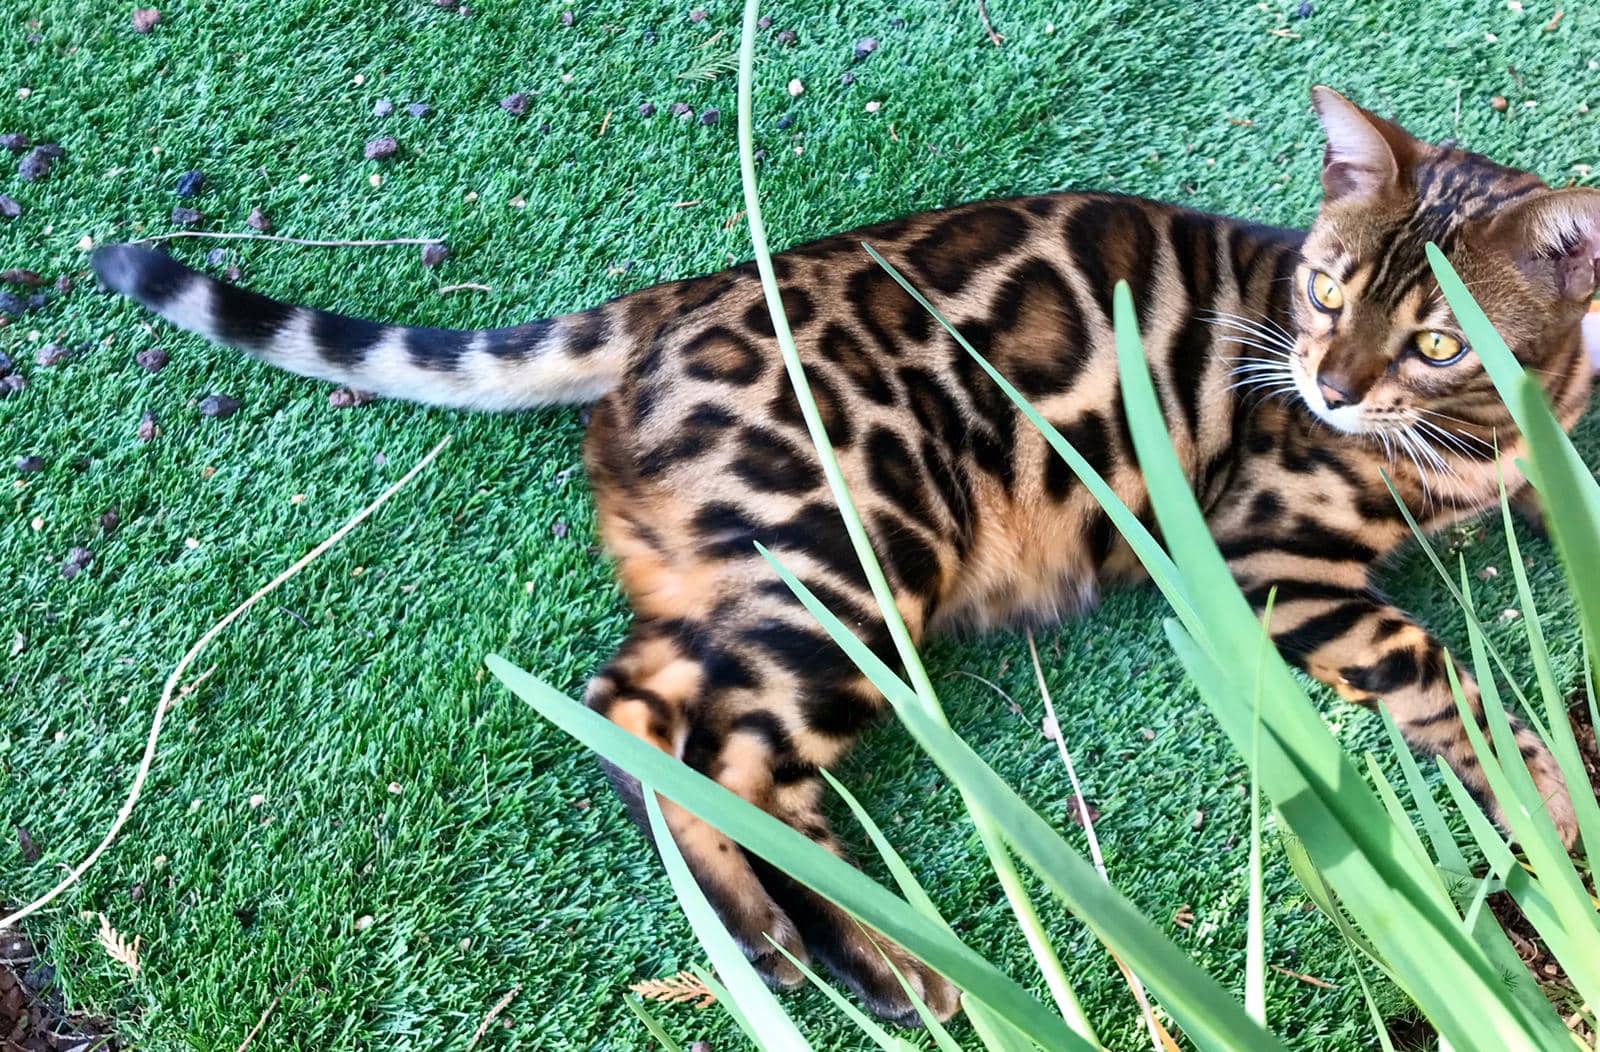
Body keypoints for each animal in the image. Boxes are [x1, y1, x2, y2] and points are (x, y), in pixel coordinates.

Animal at [90, 85, 1600, 1023]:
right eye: (1326, 292)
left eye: (1436, 335)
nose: (1331, 387)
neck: (1488, 433)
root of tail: (668, 303)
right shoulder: (1261, 553)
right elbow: (1432, 663)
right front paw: (1549, 806)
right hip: (856, 560)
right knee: (730, 752)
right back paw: (848, 953)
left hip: (739, 584)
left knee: (639, 712)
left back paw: (789, 934)